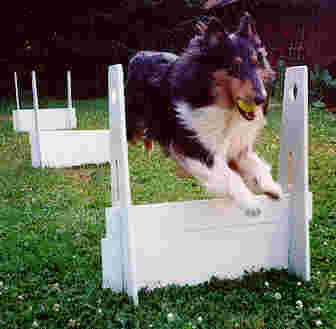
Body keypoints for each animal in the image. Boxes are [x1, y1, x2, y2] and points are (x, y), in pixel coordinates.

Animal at [124, 12, 282, 215]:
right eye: (234, 66)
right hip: (134, 122)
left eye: (256, 63)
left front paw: (271, 187)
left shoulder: (237, 149)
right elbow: (229, 175)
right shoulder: (200, 149)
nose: (261, 99)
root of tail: (139, 54)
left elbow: (256, 165)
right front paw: (250, 202)